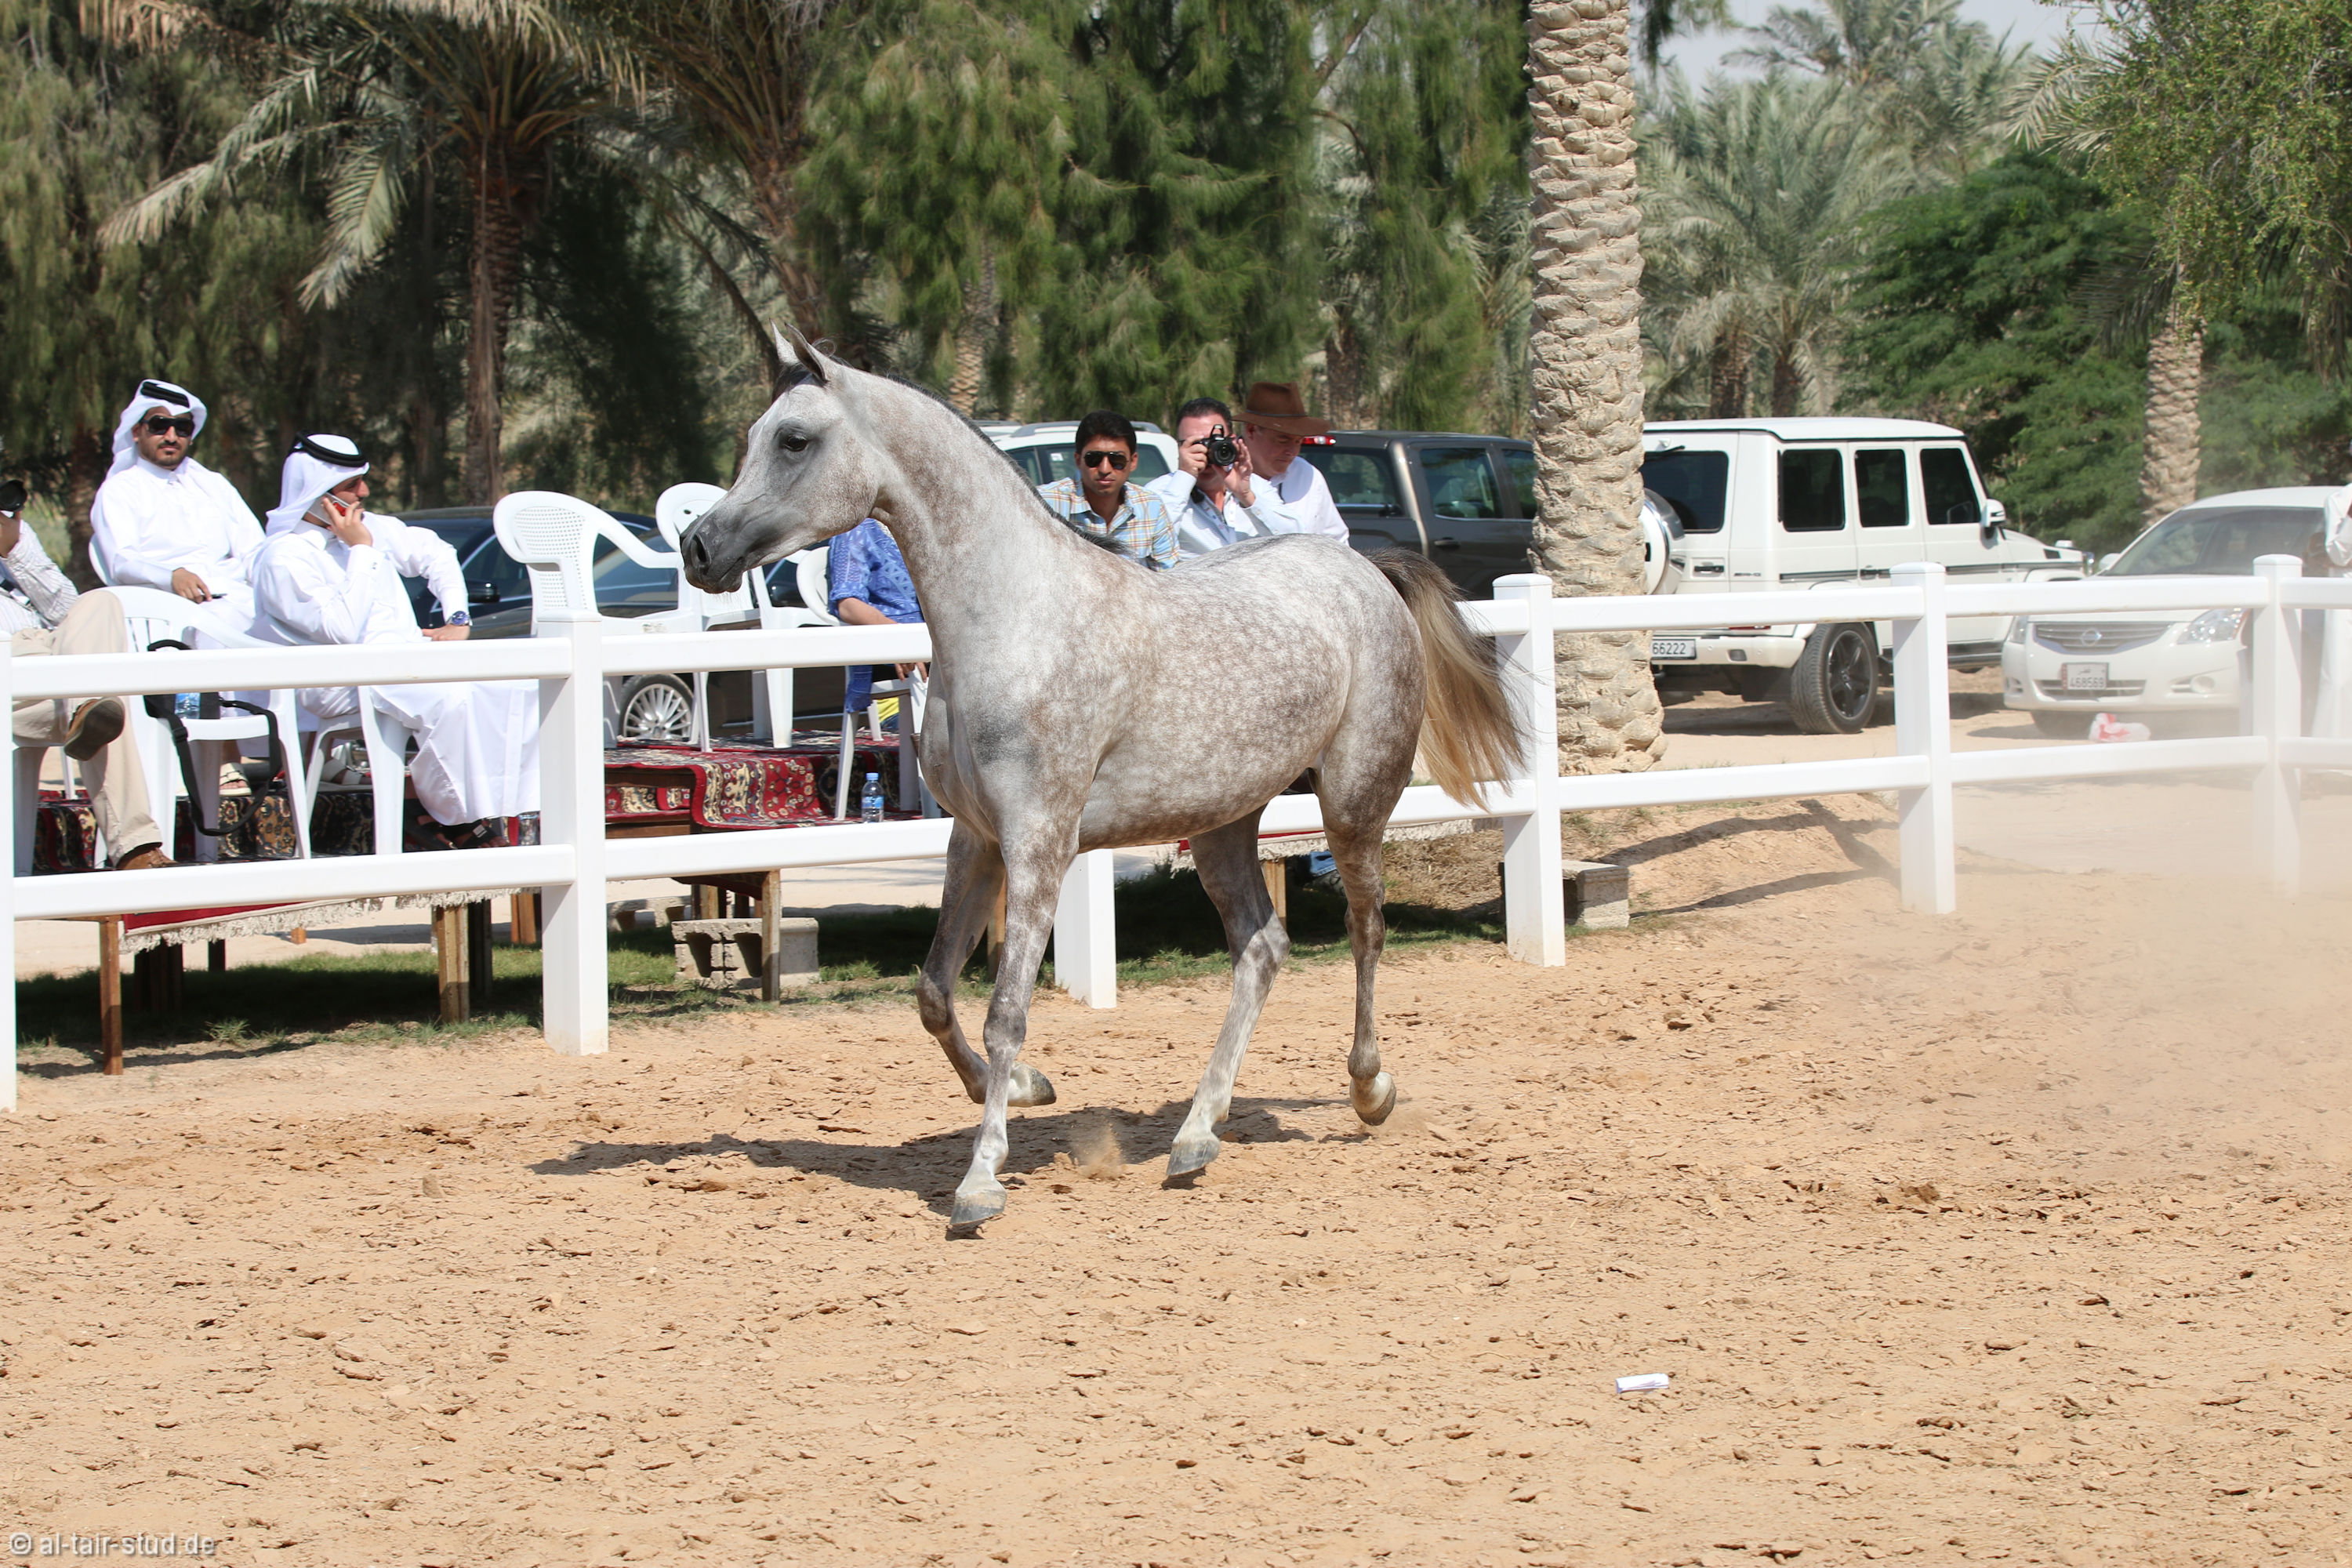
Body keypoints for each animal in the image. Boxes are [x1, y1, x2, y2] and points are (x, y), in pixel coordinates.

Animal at [681, 323, 1522, 1230]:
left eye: (795, 440)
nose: (700, 547)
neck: (1016, 620)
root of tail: (1364, 570)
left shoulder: (1039, 841)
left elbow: (1006, 1009)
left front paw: (981, 1180)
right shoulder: (976, 838)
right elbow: (935, 991)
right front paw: (1022, 1088)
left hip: (1353, 801)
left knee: (1366, 932)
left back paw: (1369, 1090)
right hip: (1226, 822)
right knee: (1262, 949)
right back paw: (1196, 1135)